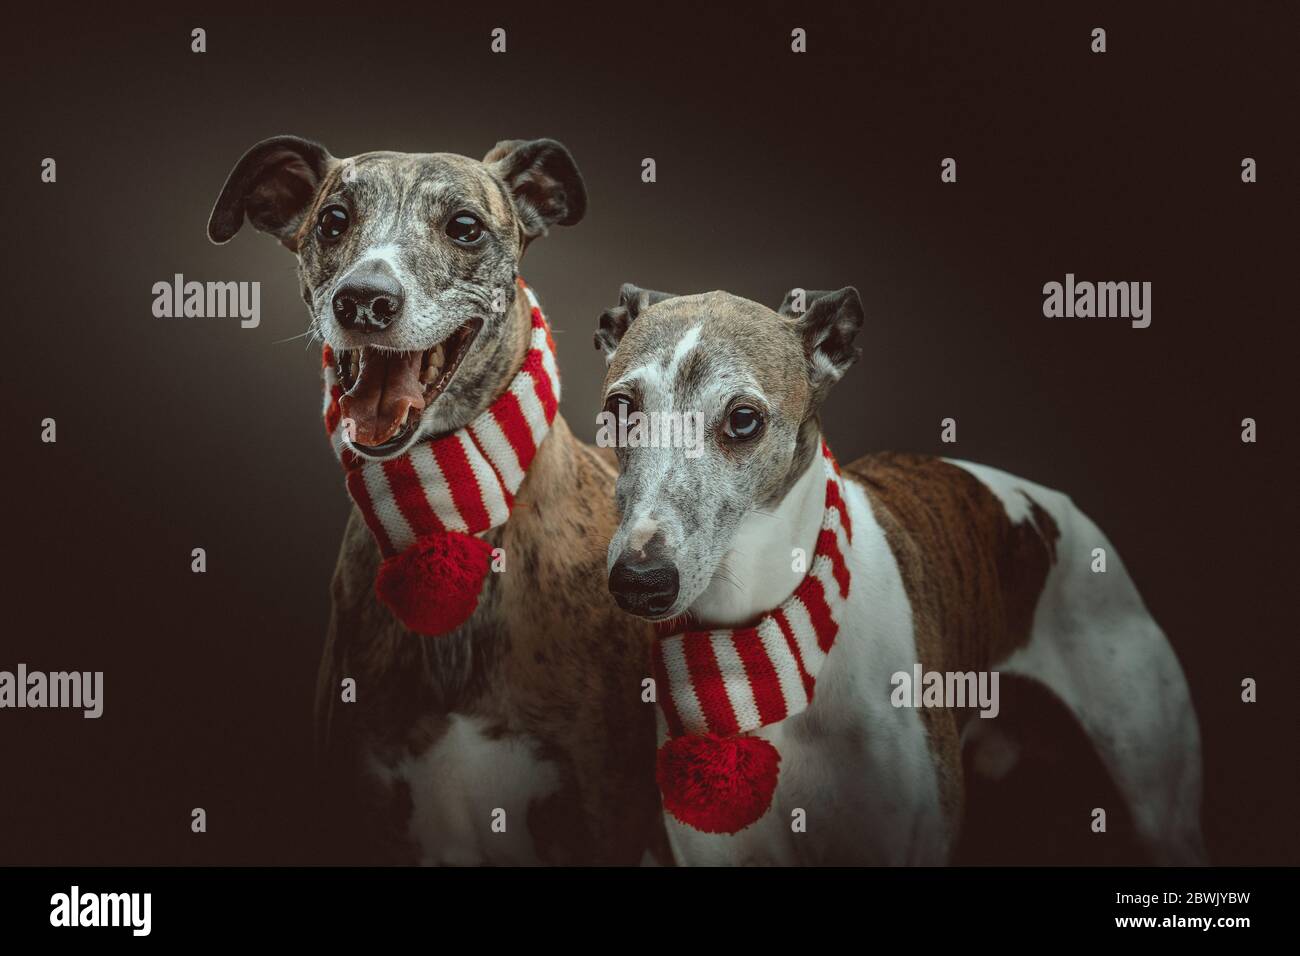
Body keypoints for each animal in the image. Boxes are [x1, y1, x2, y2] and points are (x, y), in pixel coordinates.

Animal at [595, 283, 1201, 868]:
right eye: (621, 409)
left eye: (743, 419)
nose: (641, 581)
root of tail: (1057, 507)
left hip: (1159, 800)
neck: (764, 651)